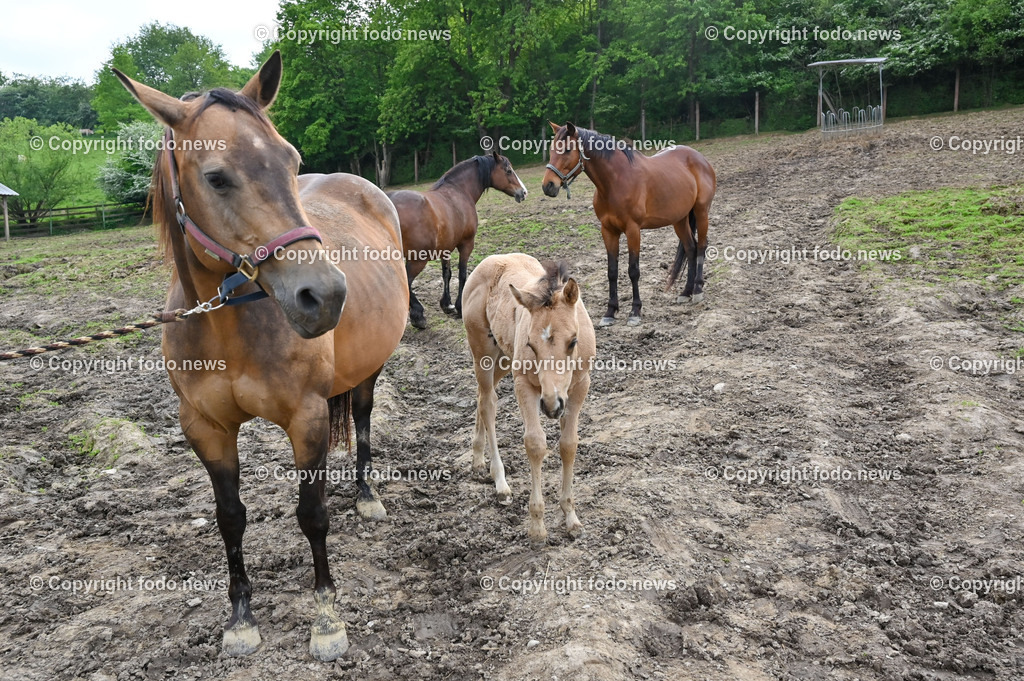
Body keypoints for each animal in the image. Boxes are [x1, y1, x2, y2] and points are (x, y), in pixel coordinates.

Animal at [112, 51, 408, 661]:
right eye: (216, 176)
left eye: (291, 160)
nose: (325, 295)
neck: (227, 325)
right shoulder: (205, 428)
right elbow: (230, 518)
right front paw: (241, 618)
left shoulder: (307, 418)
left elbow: (312, 515)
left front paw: (327, 620)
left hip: (370, 368)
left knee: (363, 418)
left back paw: (366, 495)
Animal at [387, 152, 527, 329]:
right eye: (508, 170)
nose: (523, 192)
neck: (459, 191)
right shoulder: (466, 244)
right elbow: (462, 274)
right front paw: (459, 307)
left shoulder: (446, 248)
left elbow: (446, 273)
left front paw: (447, 304)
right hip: (417, 259)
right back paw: (418, 315)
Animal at [462, 254, 596, 543]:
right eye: (531, 345)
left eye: (573, 341)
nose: (551, 405)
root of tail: (490, 260)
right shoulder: (524, 384)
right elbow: (535, 444)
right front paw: (537, 525)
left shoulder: (580, 385)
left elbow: (568, 444)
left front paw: (571, 518)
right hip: (484, 354)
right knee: (488, 403)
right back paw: (500, 483)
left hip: (503, 358)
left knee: (481, 395)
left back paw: (477, 458)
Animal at [542, 122, 716, 327]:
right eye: (551, 149)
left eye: (568, 149)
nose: (548, 186)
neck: (615, 182)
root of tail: (699, 158)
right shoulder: (608, 231)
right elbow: (612, 271)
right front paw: (610, 311)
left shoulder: (633, 230)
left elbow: (633, 270)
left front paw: (635, 311)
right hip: (679, 219)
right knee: (690, 248)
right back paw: (686, 292)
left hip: (701, 212)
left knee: (701, 246)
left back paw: (697, 290)